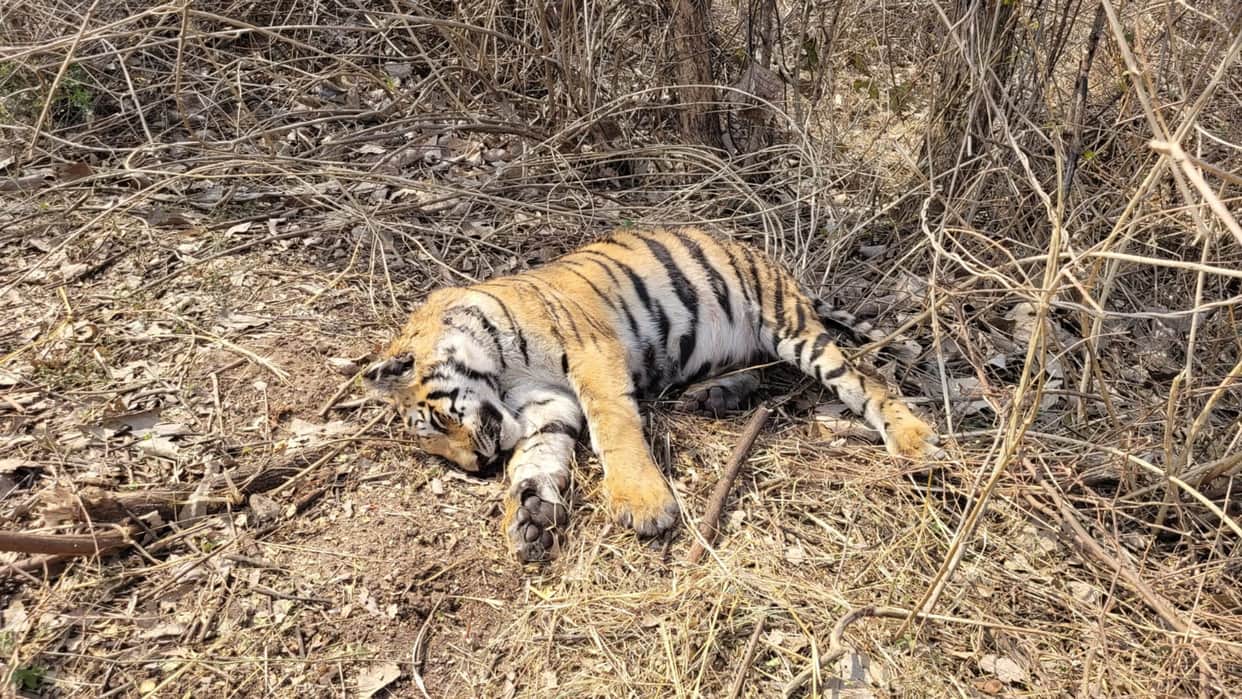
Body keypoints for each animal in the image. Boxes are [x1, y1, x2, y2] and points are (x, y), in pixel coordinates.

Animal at [363, 227, 936, 562]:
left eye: (438, 424)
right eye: (440, 451)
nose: (477, 467)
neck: (503, 377)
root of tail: (766, 259)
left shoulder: (592, 353)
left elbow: (613, 427)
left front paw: (643, 504)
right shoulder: (546, 405)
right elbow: (537, 457)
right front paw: (528, 517)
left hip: (788, 327)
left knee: (867, 380)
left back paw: (914, 441)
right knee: (759, 369)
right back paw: (714, 396)